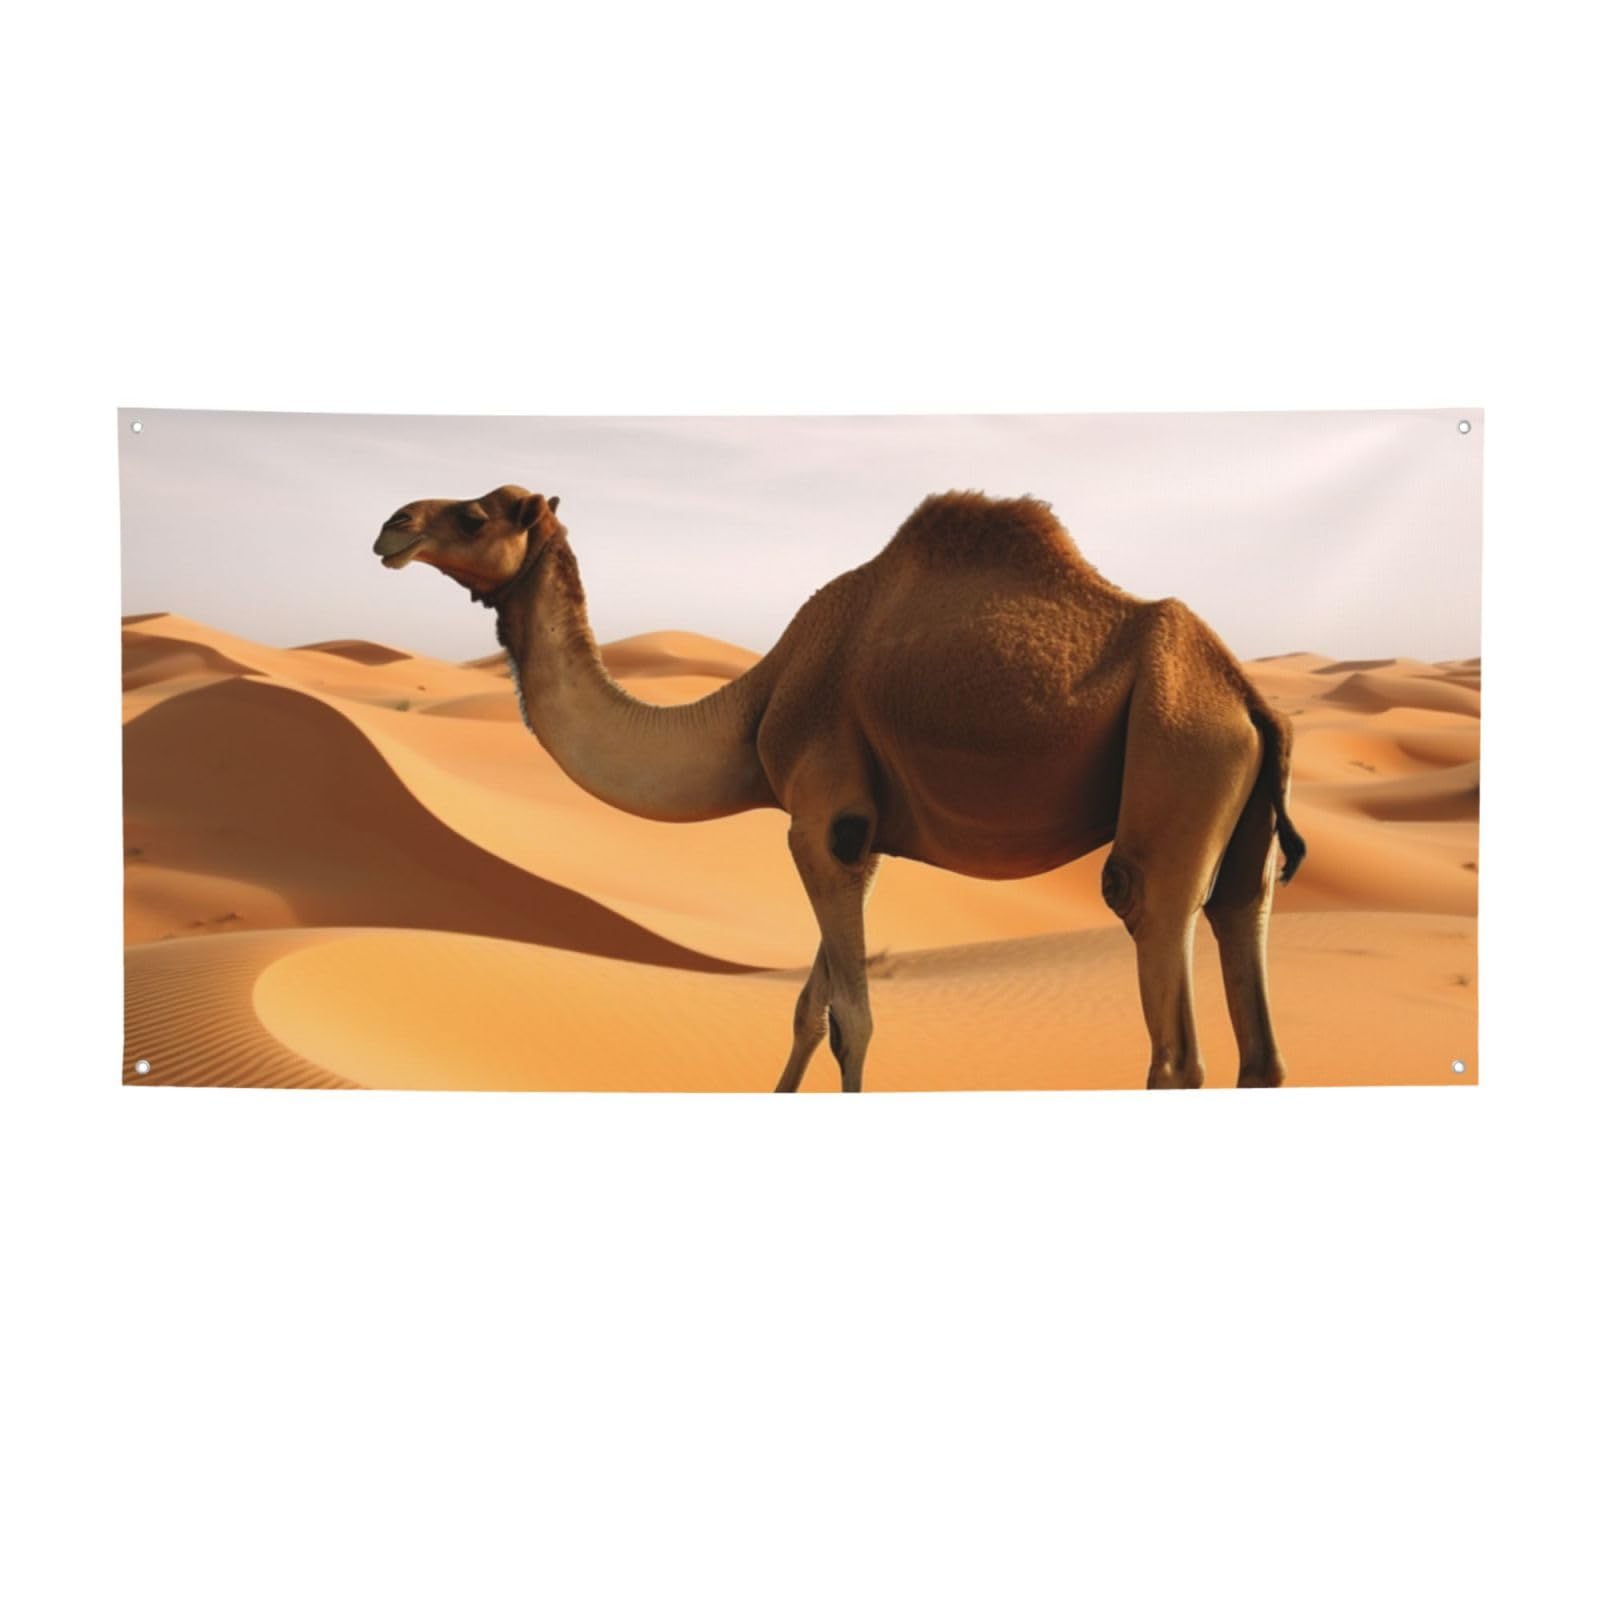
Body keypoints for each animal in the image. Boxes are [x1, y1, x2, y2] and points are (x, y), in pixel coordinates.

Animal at [373, 484, 1305, 1091]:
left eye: (476, 514)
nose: (390, 526)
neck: (758, 703)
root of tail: (1245, 694)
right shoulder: (857, 831)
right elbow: (807, 1011)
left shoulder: (820, 818)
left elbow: (851, 1022)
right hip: (1239, 811)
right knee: (1250, 986)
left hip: (1178, 751)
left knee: (1164, 995)